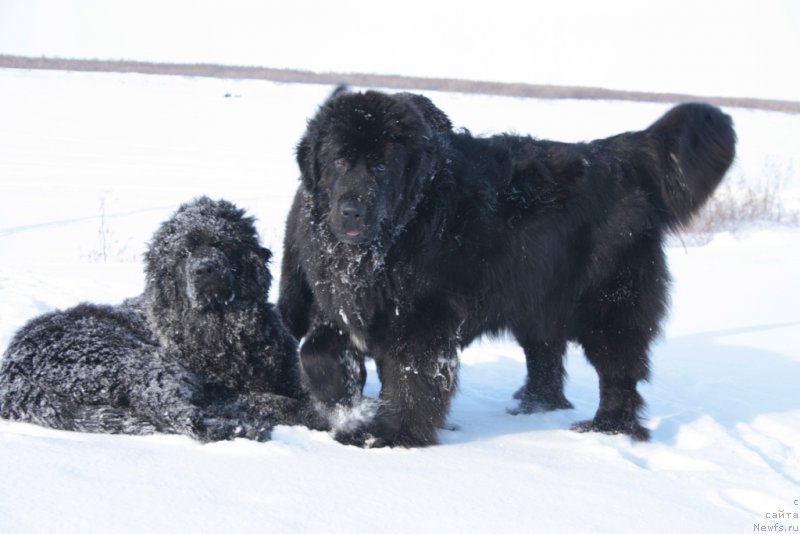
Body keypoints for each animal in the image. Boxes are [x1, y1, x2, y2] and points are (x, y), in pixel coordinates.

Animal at [278, 91, 736, 448]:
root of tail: (617, 155)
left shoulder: (422, 318)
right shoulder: (340, 303)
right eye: (338, 162)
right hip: (537, 300)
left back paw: (607, 428)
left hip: (610, 303)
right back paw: (533, 406)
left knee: (619, 370)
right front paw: (347, 408)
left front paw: (392, 434)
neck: (387, 245)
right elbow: (315, 352)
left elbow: (413, 378)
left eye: (381, 167)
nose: (352, 210)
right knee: (546, 357)